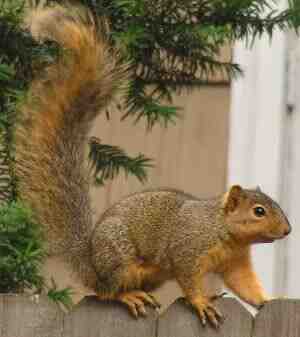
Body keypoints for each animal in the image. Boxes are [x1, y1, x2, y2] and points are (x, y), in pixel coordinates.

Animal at [15, 1, 292, 328]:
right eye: (259, 211)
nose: (287, 230)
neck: (223, 231)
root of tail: (91, 263)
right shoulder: (188, 250)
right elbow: (189, 279)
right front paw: (201, 302)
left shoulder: (236, 263)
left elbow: (246, 286)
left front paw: (271, 300)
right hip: (119, 257)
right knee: (106, 292)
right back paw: (128, 296)